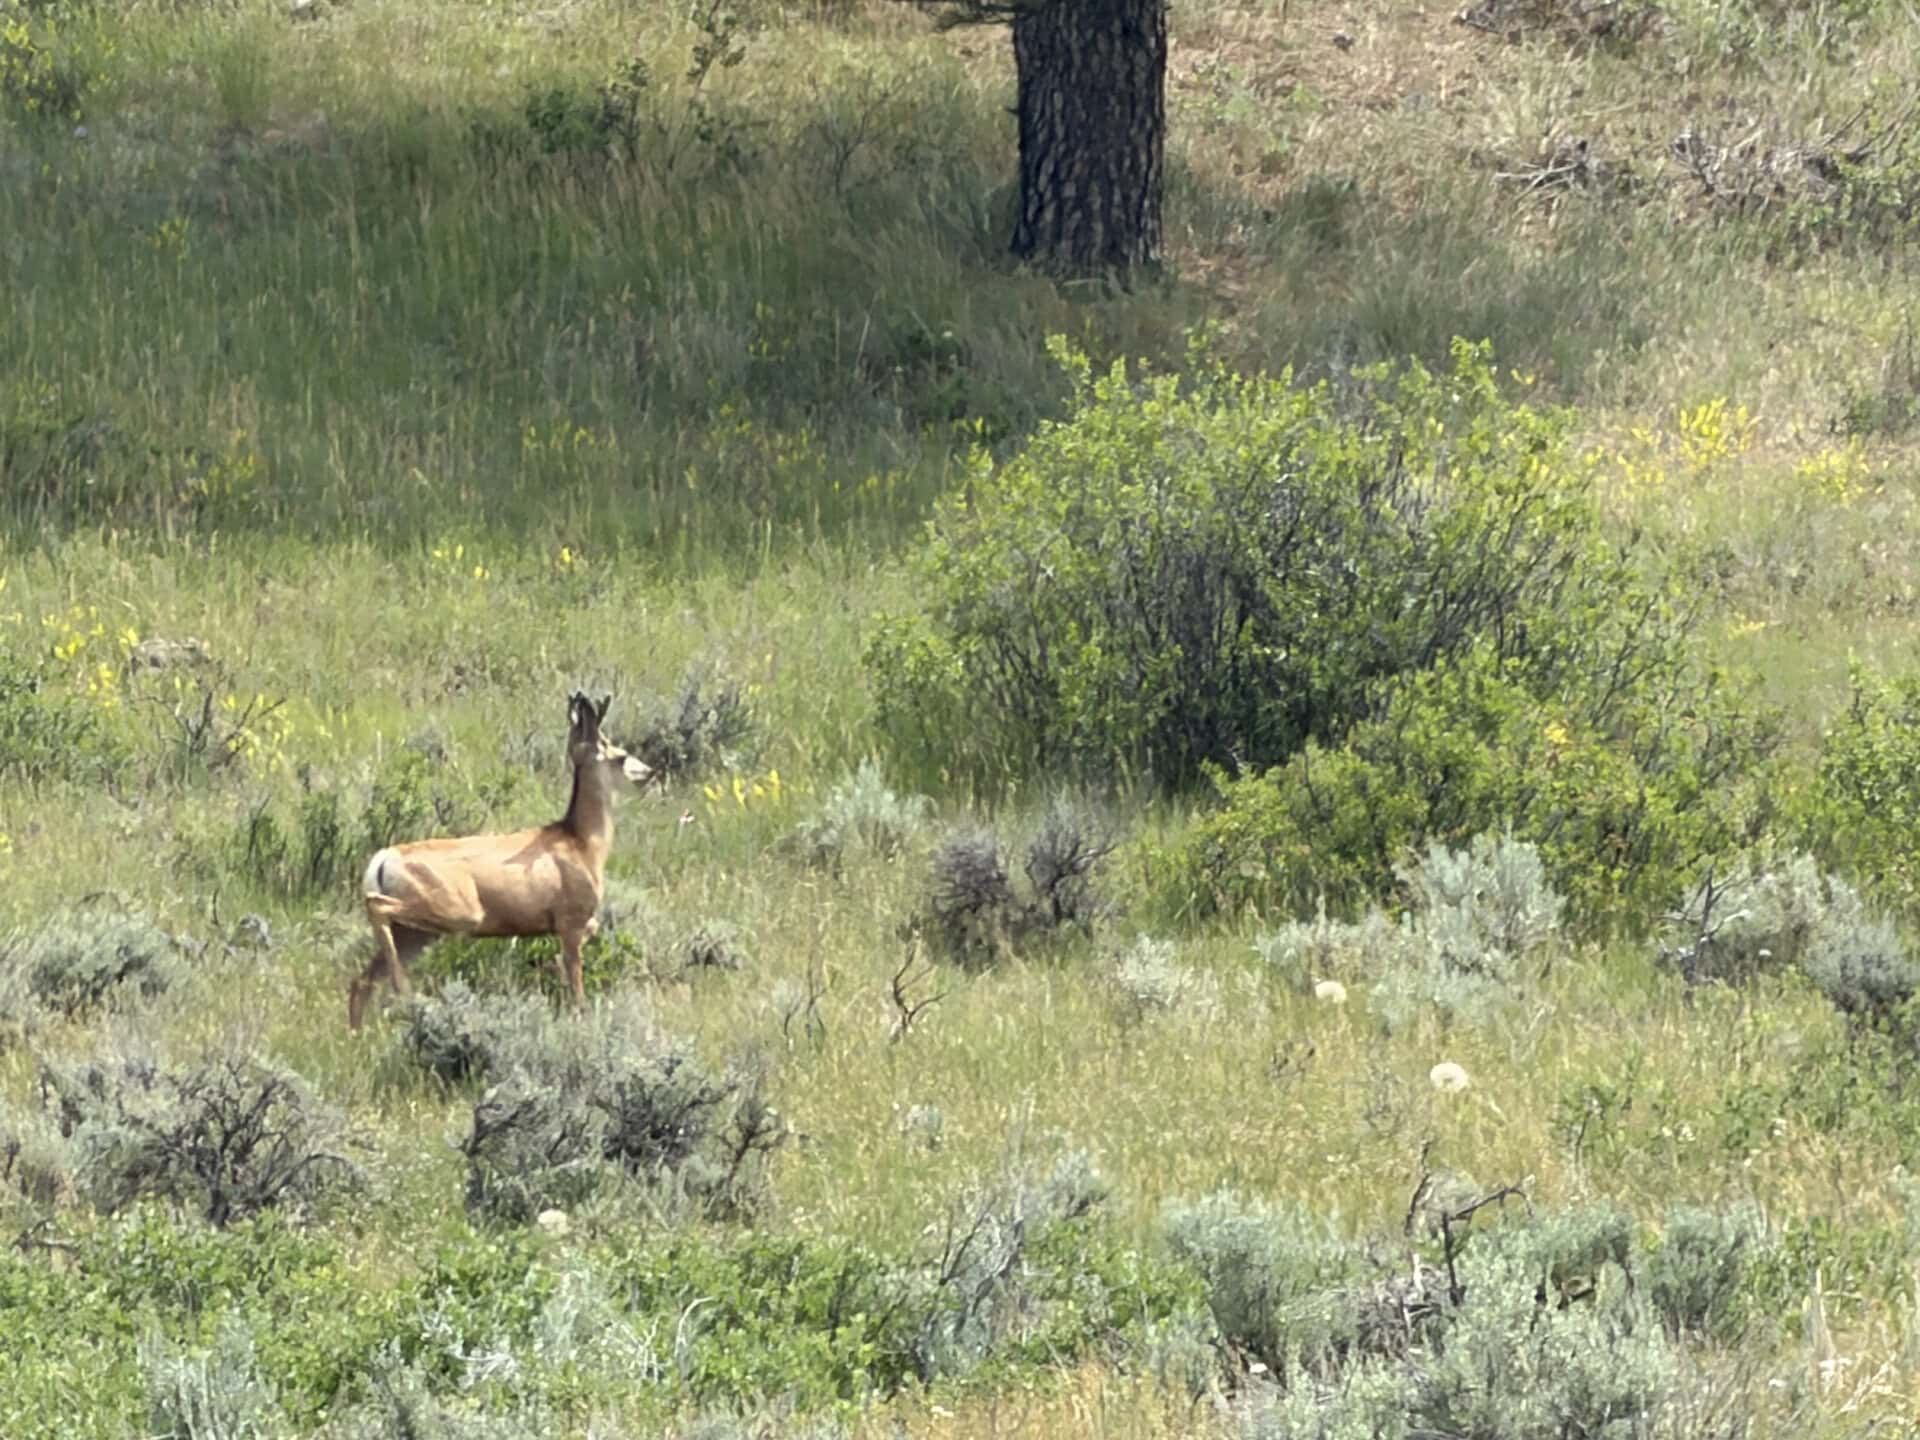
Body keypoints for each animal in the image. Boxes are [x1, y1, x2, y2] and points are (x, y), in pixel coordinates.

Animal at [347, 691, 655, 1030]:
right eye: (621, 756)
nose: (649, 772)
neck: (583, 843)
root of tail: (384, 858)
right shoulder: (570, 919)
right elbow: (577, 987)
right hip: (456, 909)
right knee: (375, 908)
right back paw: (402, 989)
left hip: (417, 932)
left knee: (361, 981)